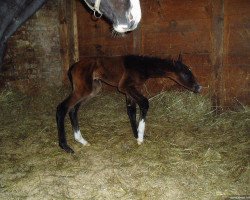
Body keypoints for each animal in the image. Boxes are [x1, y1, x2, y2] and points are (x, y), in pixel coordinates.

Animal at [56, 54, 201, 153]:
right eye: (185, 74)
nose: (198, 87)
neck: (141, 66)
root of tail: (73, 67)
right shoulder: (125, 86)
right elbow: (144, 103)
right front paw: (140, 137)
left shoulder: (128, 90)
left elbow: (131, 110)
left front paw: (137, 135)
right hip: (83, 89)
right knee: (62, 107)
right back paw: (65, 146)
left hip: (93, 89)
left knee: (73, 110)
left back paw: (81, 140)